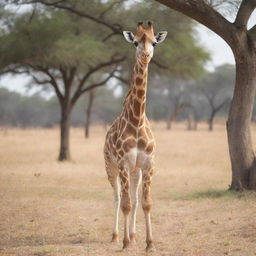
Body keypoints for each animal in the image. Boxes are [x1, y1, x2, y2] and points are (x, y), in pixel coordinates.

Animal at [103, 21, 167, 250]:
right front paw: (125, 243)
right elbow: (125, 204)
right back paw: (116, 236)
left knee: (134, 198)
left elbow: (145, 203)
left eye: (154, 42)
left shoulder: (148, 164)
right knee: (116, 197)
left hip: (135, 171)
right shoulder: (123, 163)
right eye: (136, 42)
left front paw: (149, 244)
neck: (137, 120)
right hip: (111, 167)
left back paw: (133, 235)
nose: (146, 55)